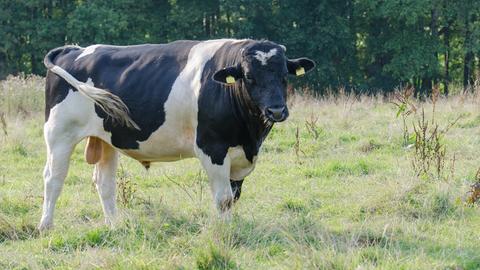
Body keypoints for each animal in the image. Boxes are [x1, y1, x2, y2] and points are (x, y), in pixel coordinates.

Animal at [38, 39, 316, 230]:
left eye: (284, 75)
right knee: (53, 179)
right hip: (59, 134)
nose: (276, 110)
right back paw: (46, 226)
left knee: (104, 182)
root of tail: (74, 50)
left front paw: (231, 227)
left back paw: (115, 225)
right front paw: (225, 232)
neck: (249, 134)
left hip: (106, 139)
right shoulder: (212, 148)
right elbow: (224, 199)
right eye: (249, 76)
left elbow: (234, 196)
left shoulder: (241, 155)